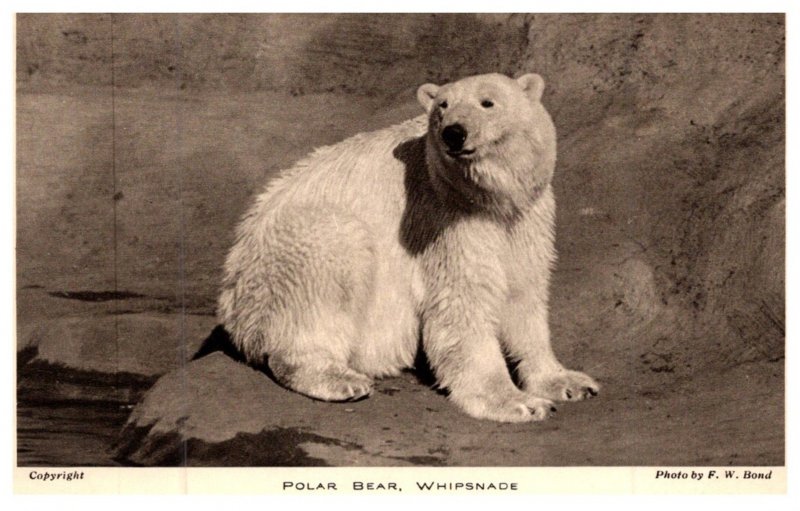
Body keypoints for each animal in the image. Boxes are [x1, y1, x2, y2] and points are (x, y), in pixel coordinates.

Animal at [219, 73, 600, 424]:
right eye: (442, 106)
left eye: (487, 102)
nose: (454, 133)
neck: (489, 198)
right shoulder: (443, 218)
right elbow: (462, 302)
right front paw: (516, 402)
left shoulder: (526, 219)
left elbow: (524, 294)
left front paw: (568, 382)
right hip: (282, 260)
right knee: (332, 253)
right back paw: (337, 378)